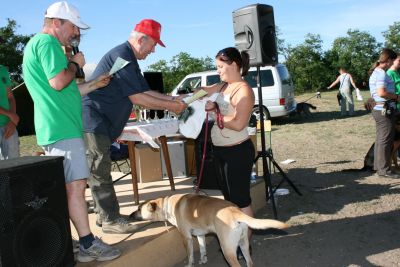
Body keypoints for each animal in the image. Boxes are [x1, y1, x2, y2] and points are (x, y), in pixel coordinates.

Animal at [130, 195, 290, 267]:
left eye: (138, 208)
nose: (129, 216)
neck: (167, 205)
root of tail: (235, 211)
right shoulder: (200, 235)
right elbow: (202, 249)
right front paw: (203, 259)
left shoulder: (186, 238)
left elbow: (190, 255)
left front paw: (190, 264)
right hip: (243, 244)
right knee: (249, 262)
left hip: (227, 249)